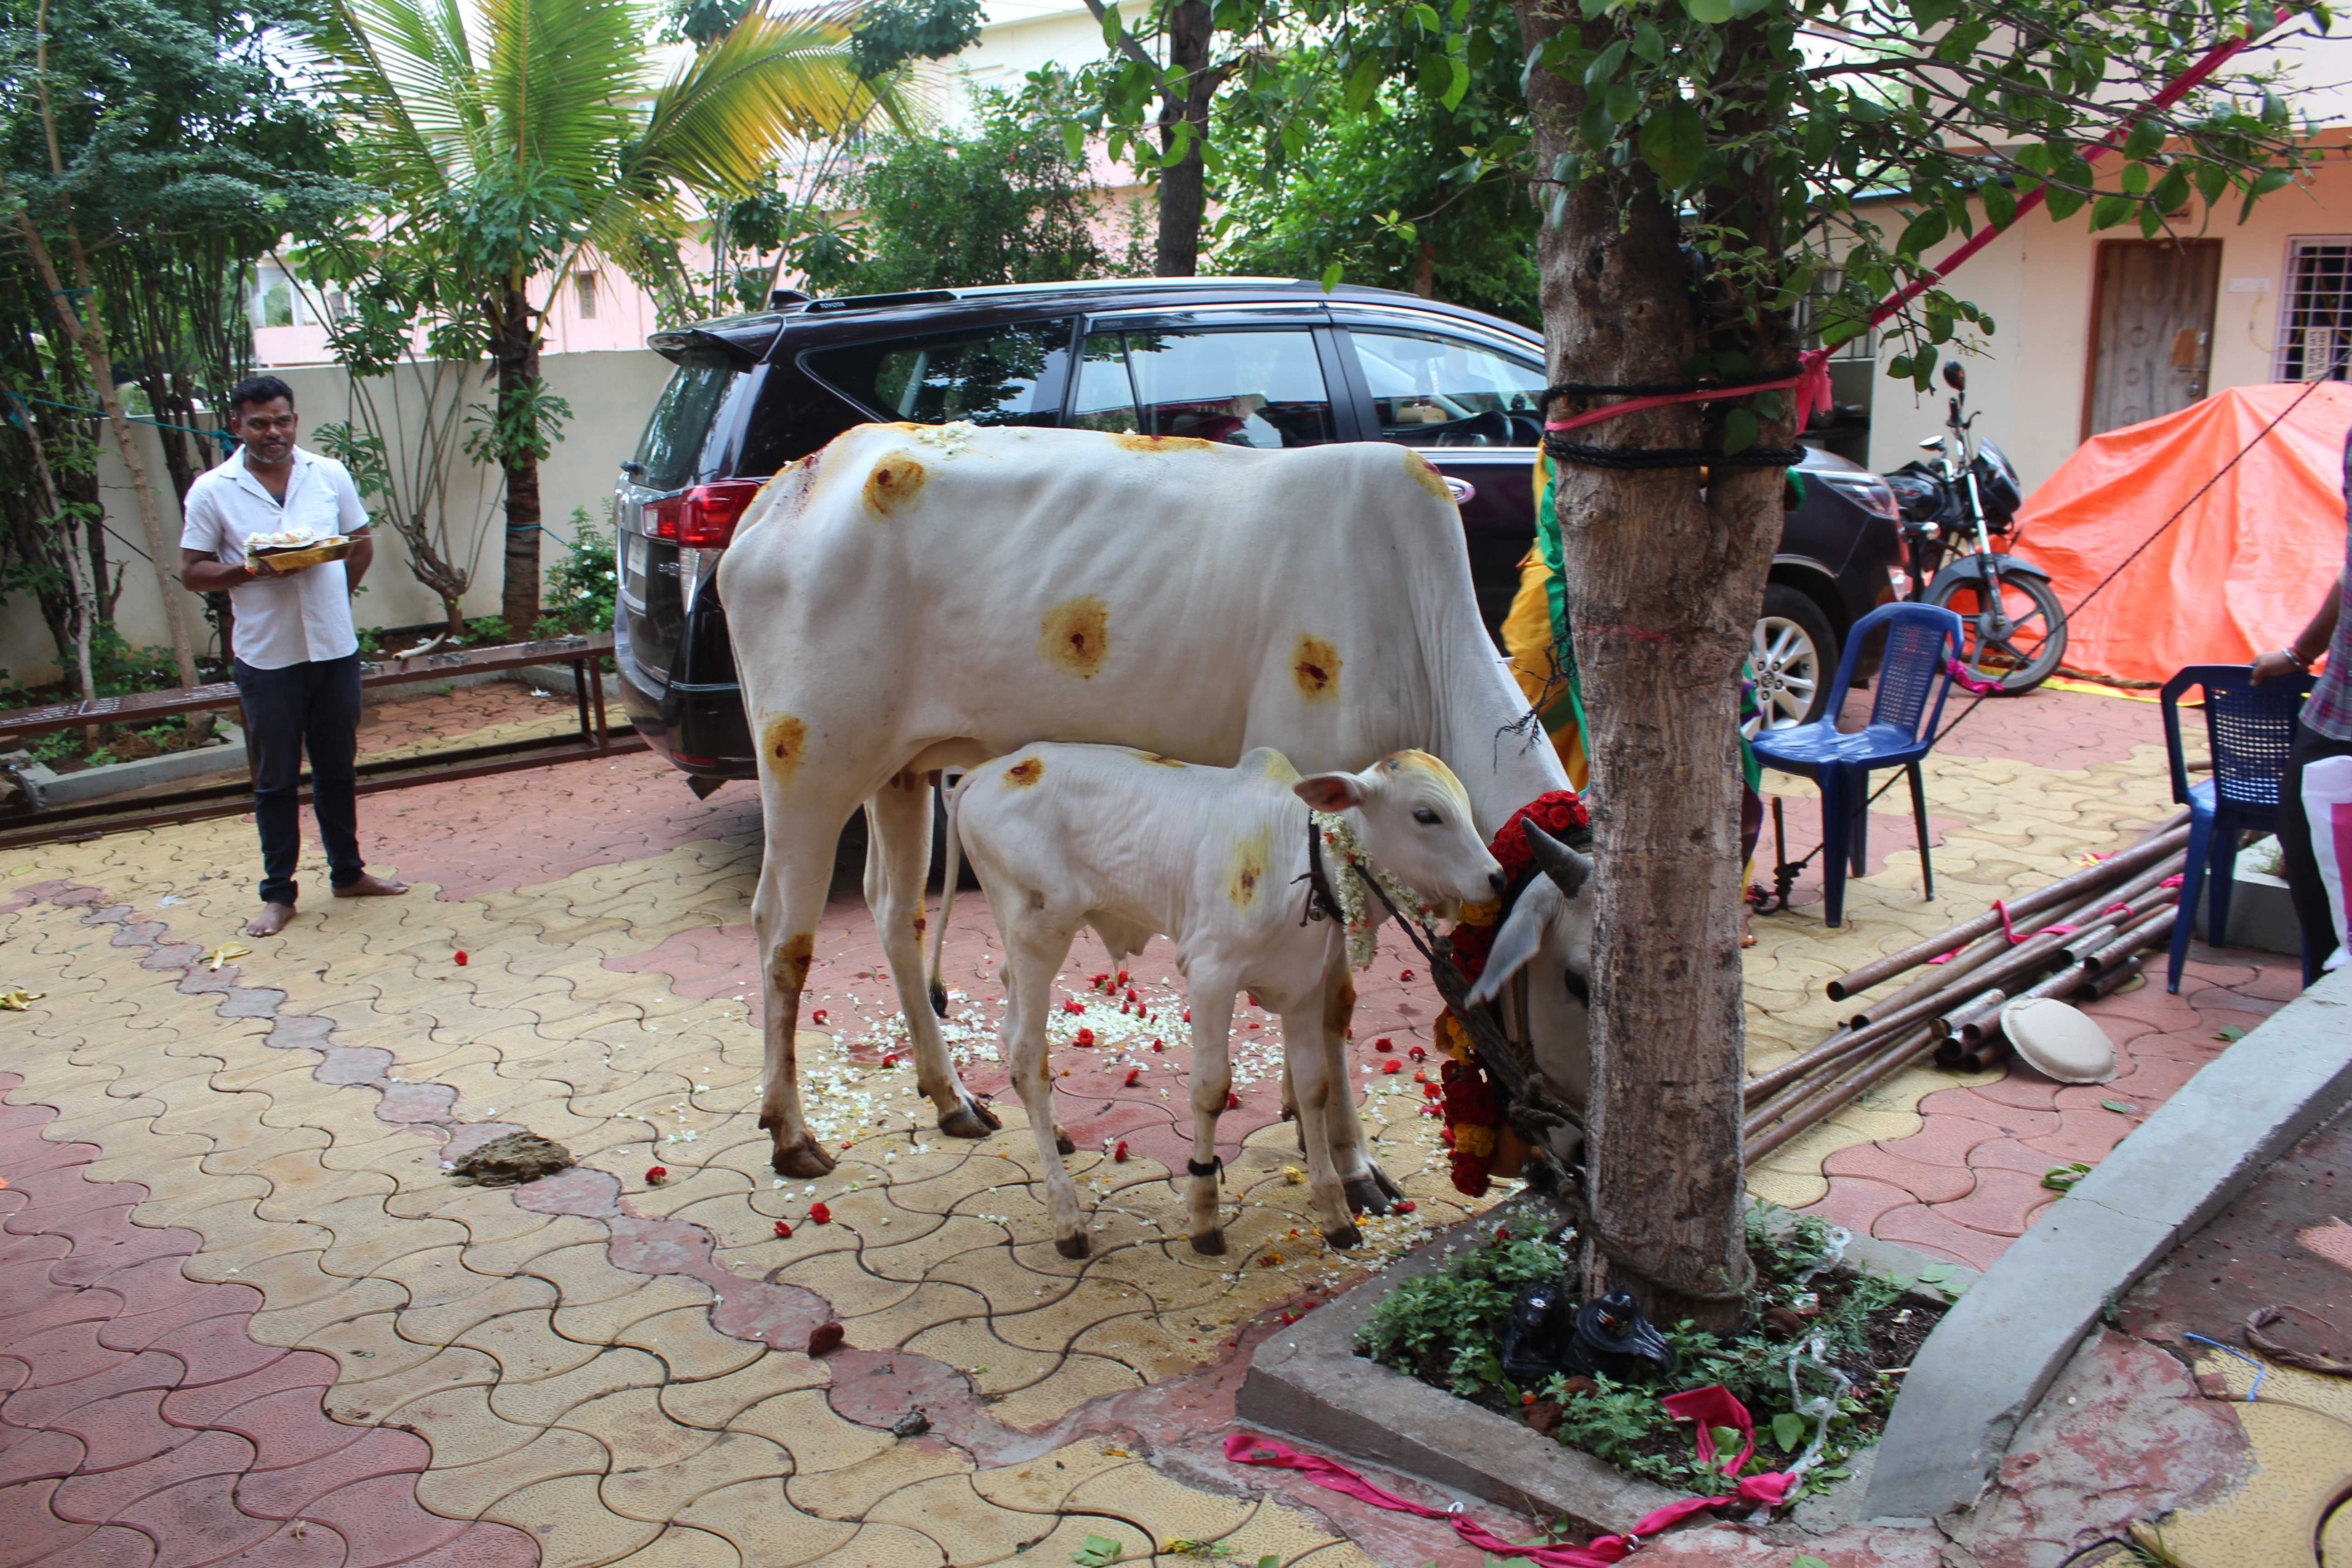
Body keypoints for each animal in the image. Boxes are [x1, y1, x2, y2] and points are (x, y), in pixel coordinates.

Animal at [718, 421, 1587, 1184]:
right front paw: (1351, 1161)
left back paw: (951, 1098)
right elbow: (1336, 1003)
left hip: (898, 771)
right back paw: (791, 1132)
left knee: (896, 913)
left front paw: (1296, 1111)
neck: (1413, 612)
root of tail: (787, 486)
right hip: (806, 762)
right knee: (782, 933)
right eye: (1577, 982)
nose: (1572, 1151)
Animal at [933, 742, 1504, 1257]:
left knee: (1011, 1030)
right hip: (1039, 935)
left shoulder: (1304, 987)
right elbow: (1210, 1091)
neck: (1300, 862)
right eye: (1427, 814)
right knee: (1029, 1061)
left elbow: (1314, 1090)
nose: (1496, 877)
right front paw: (1204, 1213)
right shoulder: (1209, 975)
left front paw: (1334, 1212)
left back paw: (1055, 1134)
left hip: (1022, 947)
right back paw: (1067, 1217)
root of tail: (989, 770)